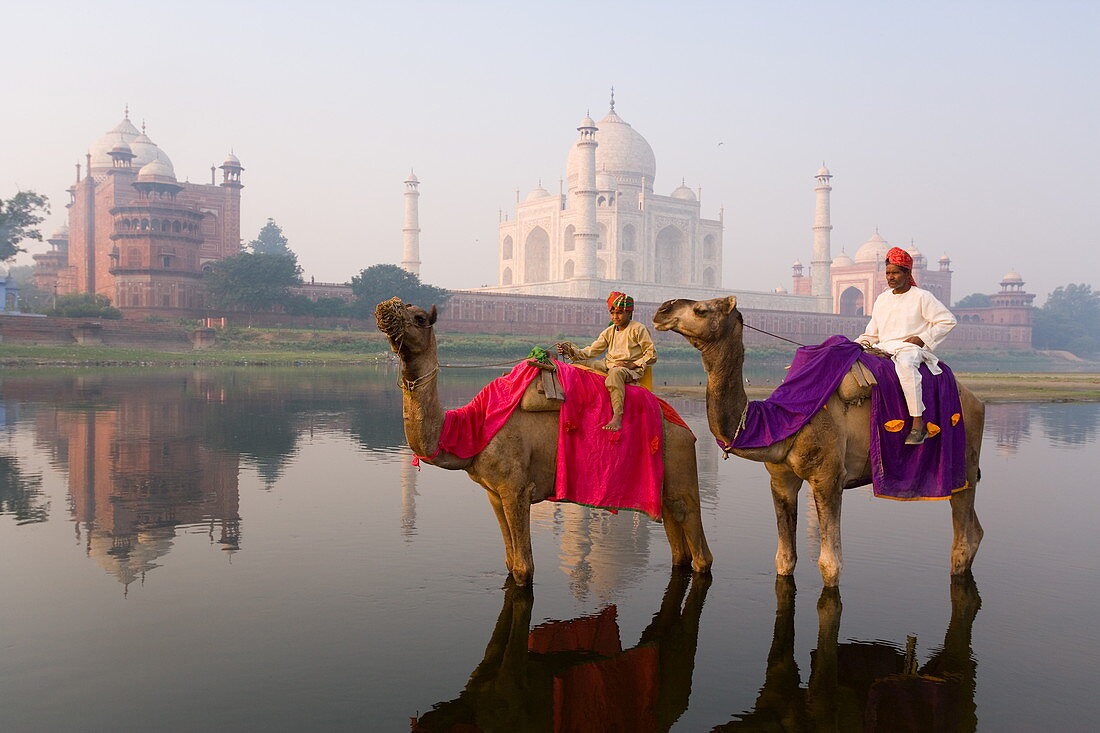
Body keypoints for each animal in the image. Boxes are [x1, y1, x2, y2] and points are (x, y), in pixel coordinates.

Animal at [374, 297, 708, 581]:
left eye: (418, 317)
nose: (384, 308)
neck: (474, 425)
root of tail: (684, 426)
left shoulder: (516, 488)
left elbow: (524, 569)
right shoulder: (493, 491)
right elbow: (510, 562)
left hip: (679, 459)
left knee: (696, 535)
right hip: (663, 479)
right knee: (675, 531)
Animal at [651, 294, 990, 585]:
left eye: (701, 309)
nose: (662, 310)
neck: (779, 418)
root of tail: (976, 399)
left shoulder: (828, 477)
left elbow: (830, 564)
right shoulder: (781, 479)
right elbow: (784, 559)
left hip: (962, 459)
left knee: (963, 536)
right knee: (974, 532)